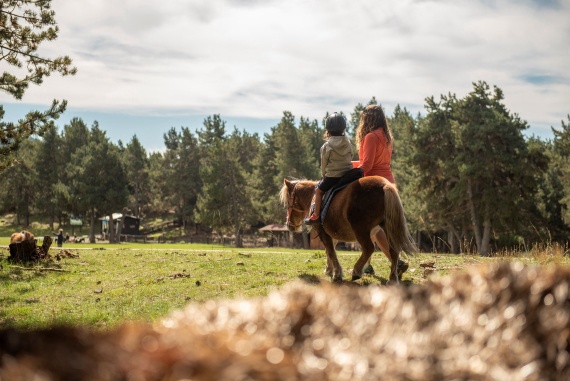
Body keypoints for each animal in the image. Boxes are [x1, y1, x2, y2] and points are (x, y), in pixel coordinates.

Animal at [280, 176, 418, 282]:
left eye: (287, 204)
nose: (289, 224)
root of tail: (385, 185)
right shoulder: (332, 234)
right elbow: (330, 250)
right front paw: (329, 269)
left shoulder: (323, 232)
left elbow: (331, 251)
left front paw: (336, 273)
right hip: (386, 228)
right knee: (393, 250)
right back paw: (393, 278)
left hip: (361, 230)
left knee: (368, 248)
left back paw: (357, 271)